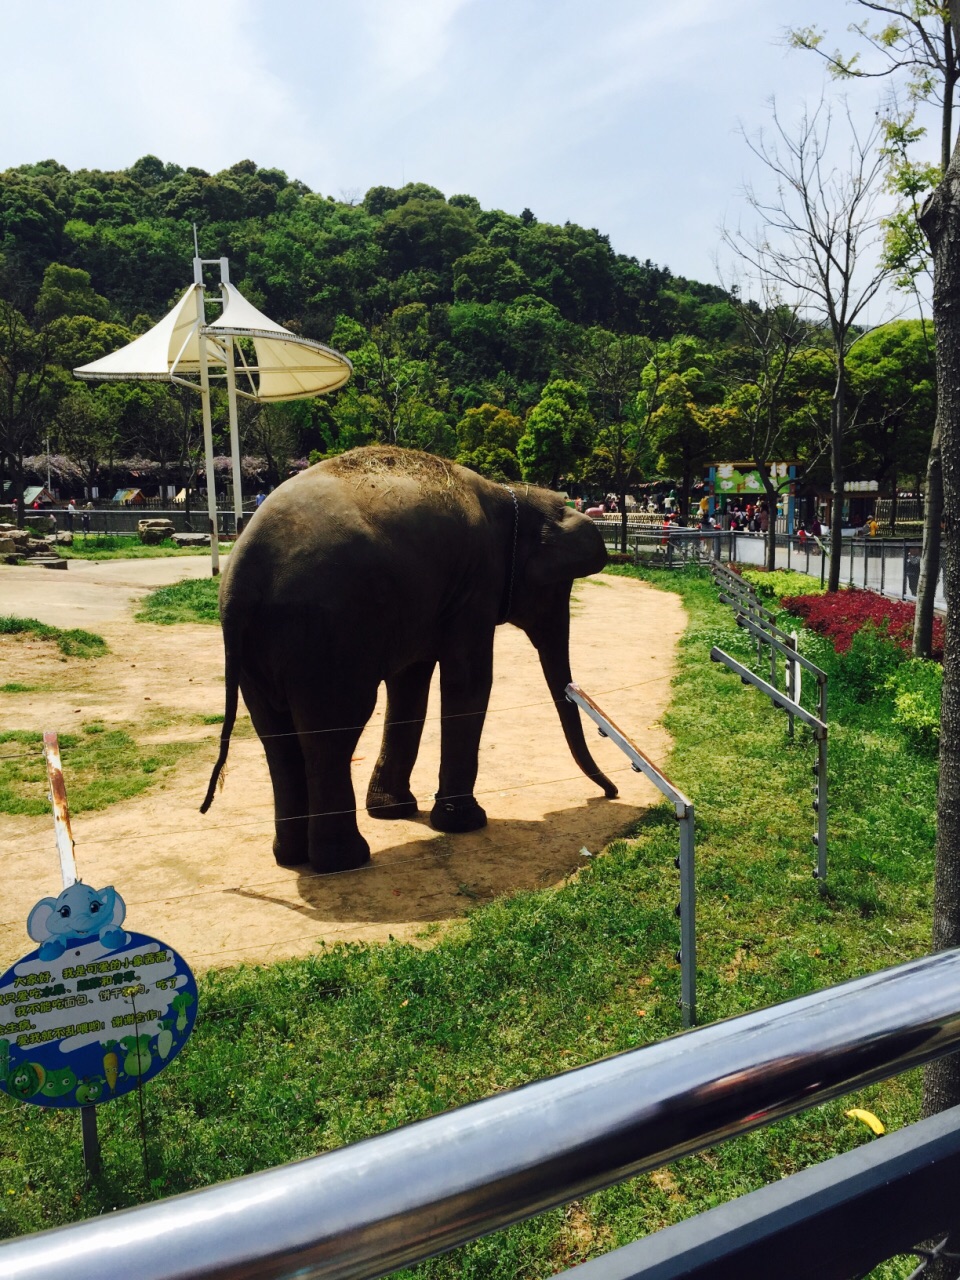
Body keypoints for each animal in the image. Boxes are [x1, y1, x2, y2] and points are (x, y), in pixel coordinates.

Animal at [202, 445, 616, 875]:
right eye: (557, 588)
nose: (610, 793)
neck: (511, 493)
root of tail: (241, 577)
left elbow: (410, 685)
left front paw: (394, 811)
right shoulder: (477, 584)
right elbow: (468, 680)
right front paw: (465, 823)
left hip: (260, 651)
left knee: (276, 735)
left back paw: (291, 857)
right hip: (326, 637)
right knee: (333, 731)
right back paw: (345, 860)